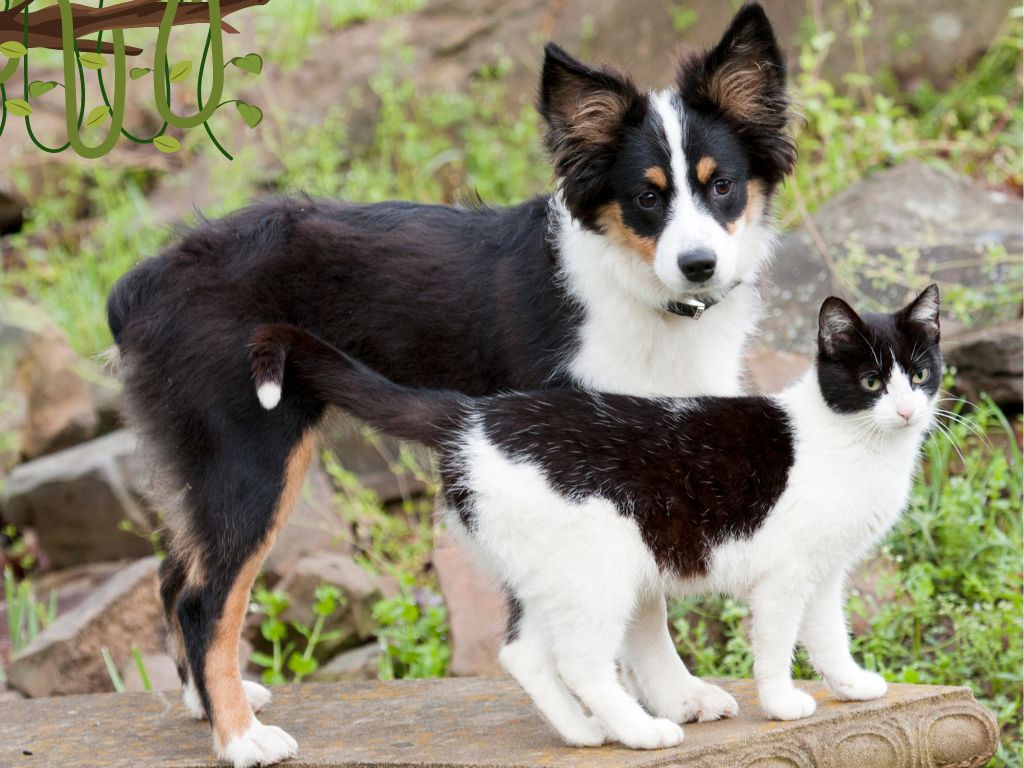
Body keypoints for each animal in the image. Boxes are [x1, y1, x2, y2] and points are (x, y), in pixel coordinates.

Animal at [105, 3, 790, 765]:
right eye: (647, 197)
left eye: (722, 185)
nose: (699, 265)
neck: (637, 293)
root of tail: (143, 282)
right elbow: (640, 600)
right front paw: (654, 705)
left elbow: (646, 592)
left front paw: (676, 696)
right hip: (251, 455)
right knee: (205, 598)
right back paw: (241, 737)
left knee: (176, 577)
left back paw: (208, 705)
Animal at [249, 286, 942, 749]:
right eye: (872, 381)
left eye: (920, 373)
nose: (908, 409)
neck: (852, 441)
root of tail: (472, 416)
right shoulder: (786, 577)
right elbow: (775, 645)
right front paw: (780, 703)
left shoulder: (824, 574)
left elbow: (827, 636)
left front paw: (851, 687)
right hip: (600, 571)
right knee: (581, 663)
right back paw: (642, 732)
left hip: (545, 574)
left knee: (523, 655)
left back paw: (584, 733)